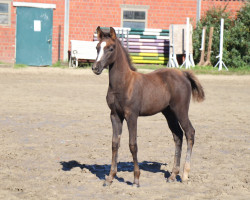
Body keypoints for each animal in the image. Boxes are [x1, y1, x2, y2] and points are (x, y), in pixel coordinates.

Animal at [93, 25, 204, 187]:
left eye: (111, 48)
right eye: (97, 47)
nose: (95, 67)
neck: (123, 83)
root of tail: (183, 74)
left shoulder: (131, 115)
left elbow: (133, 144)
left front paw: (136, 179)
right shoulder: (115, 115)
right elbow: (114, 143)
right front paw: (110, 178)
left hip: (180, 110)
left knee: (190, 132)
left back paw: (184, 175)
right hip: (169, 113)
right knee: (178, 136)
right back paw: (172, 175)